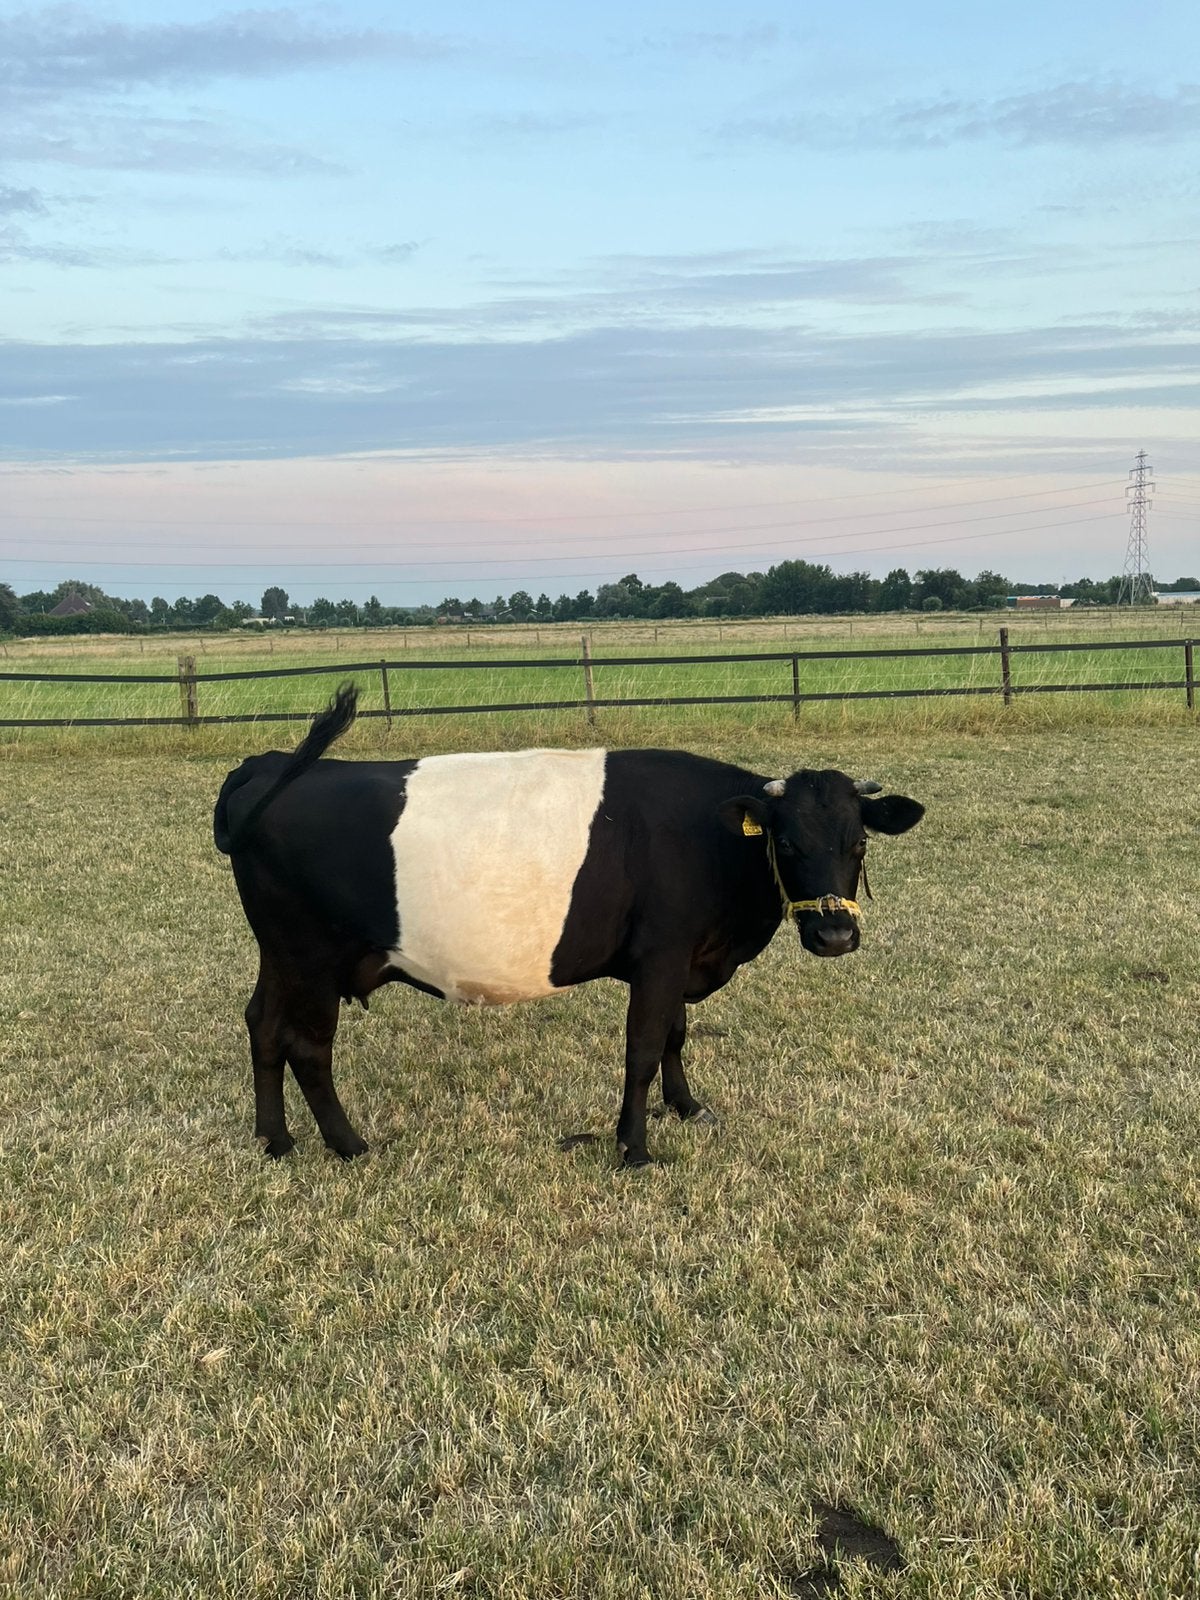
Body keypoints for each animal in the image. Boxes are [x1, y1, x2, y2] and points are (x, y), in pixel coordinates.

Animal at [213, 686, 924, 1166]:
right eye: (788, 843)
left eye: (858, 842)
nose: (835, 937)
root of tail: (268, 765)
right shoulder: (662, 954)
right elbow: (644, 1046)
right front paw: (634, 1148)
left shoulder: (680, 955)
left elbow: (676, 1035)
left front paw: (687, 1108)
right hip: (311, 955)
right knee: (307, 1045)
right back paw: (348, 1144)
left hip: (279, 952)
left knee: (262, 1025)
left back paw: (275, 1139)